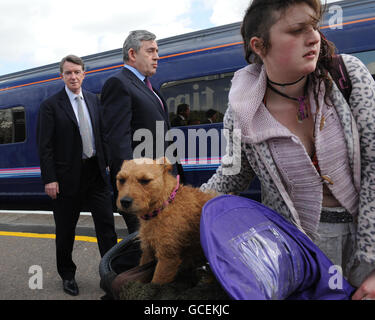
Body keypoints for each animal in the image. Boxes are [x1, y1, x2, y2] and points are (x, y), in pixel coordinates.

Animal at [117, 156, 217, 284]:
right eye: (121, 180)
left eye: (145, 180)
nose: (125, 201)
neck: (163, 206)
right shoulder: (148, 251)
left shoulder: (167, 258)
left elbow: (156, 282)